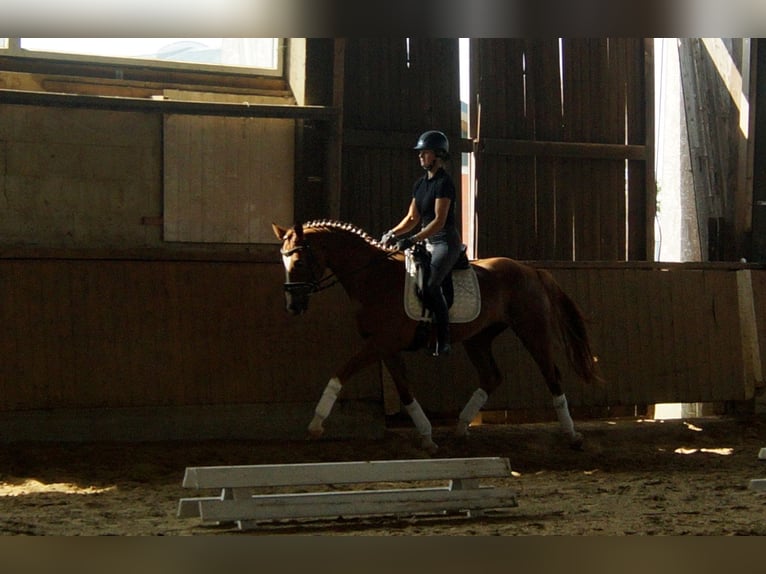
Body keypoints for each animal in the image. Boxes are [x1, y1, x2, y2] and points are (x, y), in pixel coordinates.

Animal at [272, 220, 604, 454]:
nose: (292, 306)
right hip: (478, 338)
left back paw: (572, 435)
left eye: (298, 262)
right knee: (492, 376)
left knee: (552, 375)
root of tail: (531, 270)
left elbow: (340, 373)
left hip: (532, 331)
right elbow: (405, 391)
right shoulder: (387, 348)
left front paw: (315, 424)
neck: (373, 278)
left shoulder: (380, 344)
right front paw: (427, 437)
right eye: (283, 262)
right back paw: (461, 427)